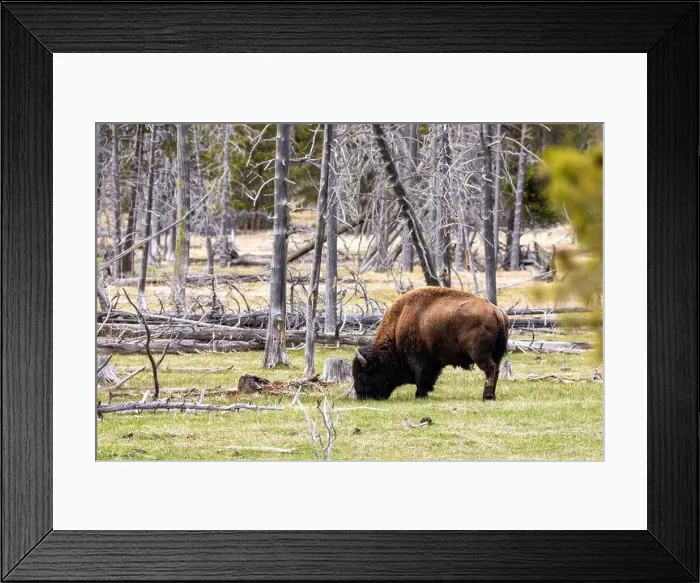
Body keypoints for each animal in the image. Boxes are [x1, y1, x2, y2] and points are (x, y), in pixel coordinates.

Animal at [352, 287, 509, 400]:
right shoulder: (433, 362)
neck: (399, 323)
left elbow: (421, 375)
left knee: (489, 368)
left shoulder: (418, 358)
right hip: (497, 354)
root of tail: (495, 310)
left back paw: (487, 396)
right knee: (496, 370)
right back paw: (492, 395)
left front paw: (419, 395)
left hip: (479, 353)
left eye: (362, 374)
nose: (361, 396)